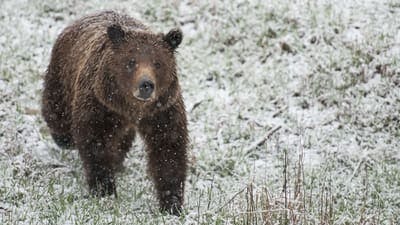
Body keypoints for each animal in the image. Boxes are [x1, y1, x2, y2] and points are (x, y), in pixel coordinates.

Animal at [41, 10, 188, 214]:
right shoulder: (100, 104)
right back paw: (64, 138)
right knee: (56, 110)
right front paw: (104, 189)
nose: (146, 85)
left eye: (157, 63)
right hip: (62, 74)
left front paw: (171, 203)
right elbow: (96, 143)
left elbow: (168, 148)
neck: (131, 108)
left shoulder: (162, 110)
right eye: (131, 61)